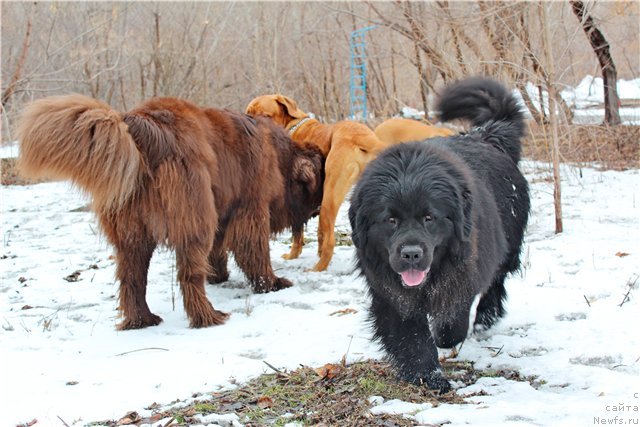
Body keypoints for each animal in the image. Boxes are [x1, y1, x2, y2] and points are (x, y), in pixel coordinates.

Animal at [17, 96, 322, 332]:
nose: (319, 209)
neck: (280, 158)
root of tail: (140, 127)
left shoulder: (220, 208)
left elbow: (217, 250)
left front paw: (218, 275)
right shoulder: (251, 208)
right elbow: (254, 253)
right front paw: (270, 283)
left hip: (132, 233)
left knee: (132, 279)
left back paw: (142, 320)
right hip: (193, 217)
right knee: (188, 274)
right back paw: (207, 317)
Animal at [246, 95, 390, 272]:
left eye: (265, 116)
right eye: (248, 113)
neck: (291, 125)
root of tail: (362, 136)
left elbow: (297, 234)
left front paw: (293, 255)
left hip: (330, 196)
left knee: (330, 240)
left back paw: (319, 267)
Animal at [350, 77, 528, 392]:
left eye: (429, 218)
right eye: (390, 220)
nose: (411, 253)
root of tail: (486, 135)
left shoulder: (464, 272)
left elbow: (452, 318)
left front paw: (445, 337)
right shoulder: (389, 291)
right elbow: (410, 334)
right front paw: (427, 375)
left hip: (507, 245)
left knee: (496, 282)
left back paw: (485, 319)